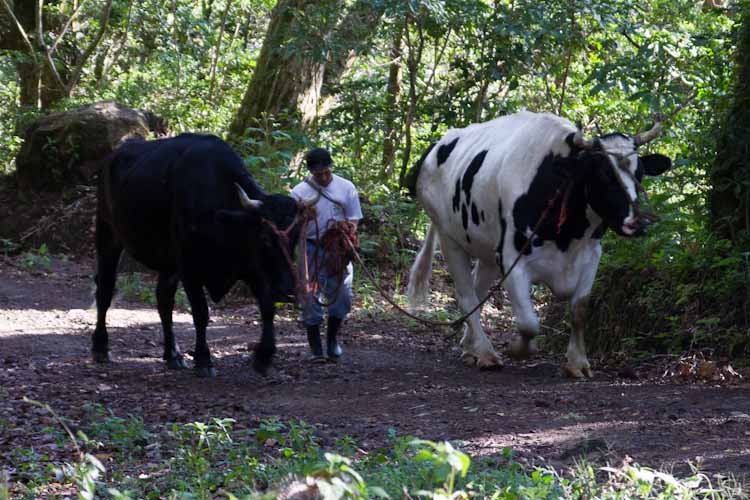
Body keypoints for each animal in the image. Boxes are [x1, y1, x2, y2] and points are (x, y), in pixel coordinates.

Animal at [93, 133, 306, 376]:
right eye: (265, 238)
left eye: (295, 238)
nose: (287, 290)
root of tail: (112, 156)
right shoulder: (189, 268)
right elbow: (201, 313)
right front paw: (204, 359)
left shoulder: (254, 267)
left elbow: (268, 308)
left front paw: (264, 356)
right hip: (107, 234)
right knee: (105, 289)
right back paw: (100, 347)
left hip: (169, 262)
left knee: (164, 299)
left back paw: (173, 354)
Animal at [408, 109, 672, 376]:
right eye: (603, 174)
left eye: (640, 173)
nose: (638, 222)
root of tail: (434, 148)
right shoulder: (511, 259)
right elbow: (528, 323)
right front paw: (518, 349)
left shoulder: (591, 255)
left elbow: (579, 310)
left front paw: (577, 362)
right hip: (449, 237)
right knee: (467, 297)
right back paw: (485, 353)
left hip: (487, 250)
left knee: (477, 291)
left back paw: (471, 347)